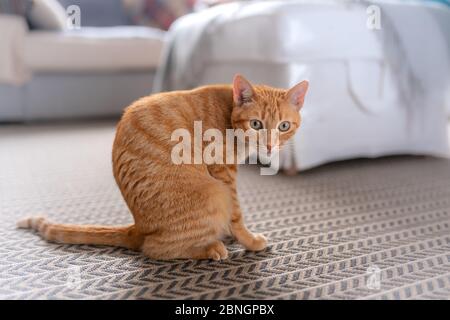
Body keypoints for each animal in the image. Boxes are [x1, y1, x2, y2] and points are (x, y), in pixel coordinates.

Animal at [15, 75, 308, 260]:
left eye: (283, 126)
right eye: (256, 124)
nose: (270, 146)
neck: (229, 115)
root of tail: (138, 226)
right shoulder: (224, 174)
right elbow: (237, 215)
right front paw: (248, 240)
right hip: (214, 193)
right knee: (155, 250)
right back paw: (210, 248)